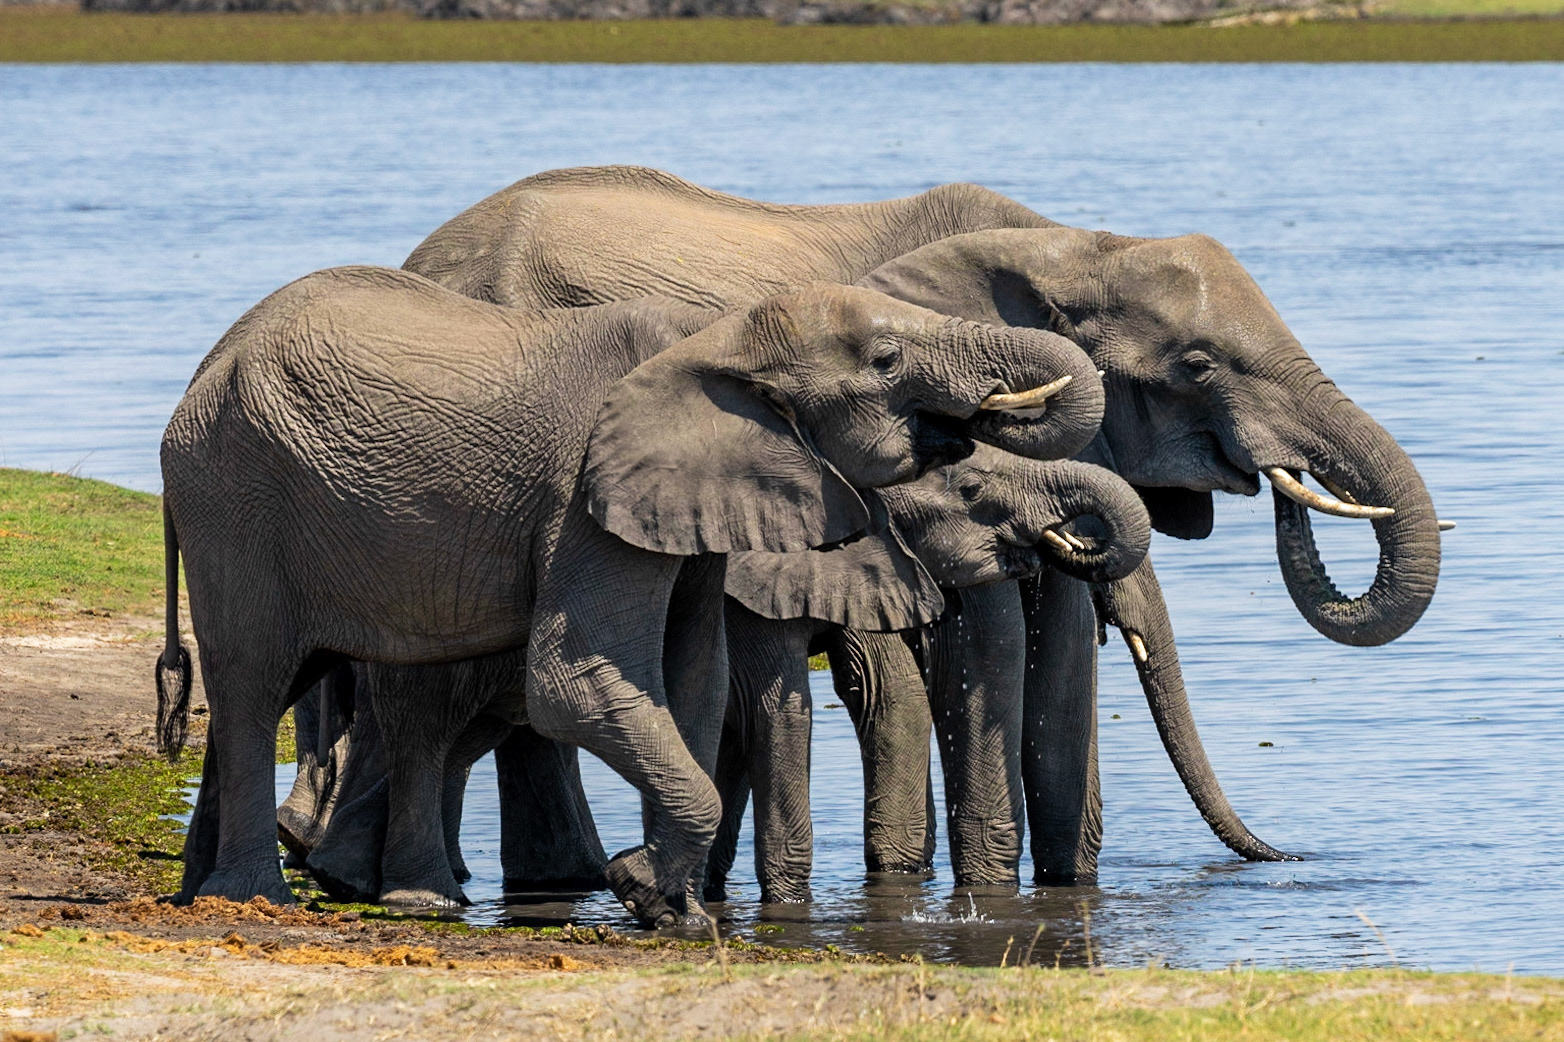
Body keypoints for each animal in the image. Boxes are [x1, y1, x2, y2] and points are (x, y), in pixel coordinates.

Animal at [153, 266, 1102, 923]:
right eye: (886, 358)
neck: (716, 337)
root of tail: (202, 371)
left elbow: (693, 681)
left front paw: (669, 907)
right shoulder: (583, 498)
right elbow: (575, 681)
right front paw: (640, 888)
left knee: (280, 685)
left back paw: (211, 892)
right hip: (235, 495)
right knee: (254, 681)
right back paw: (266, 902)